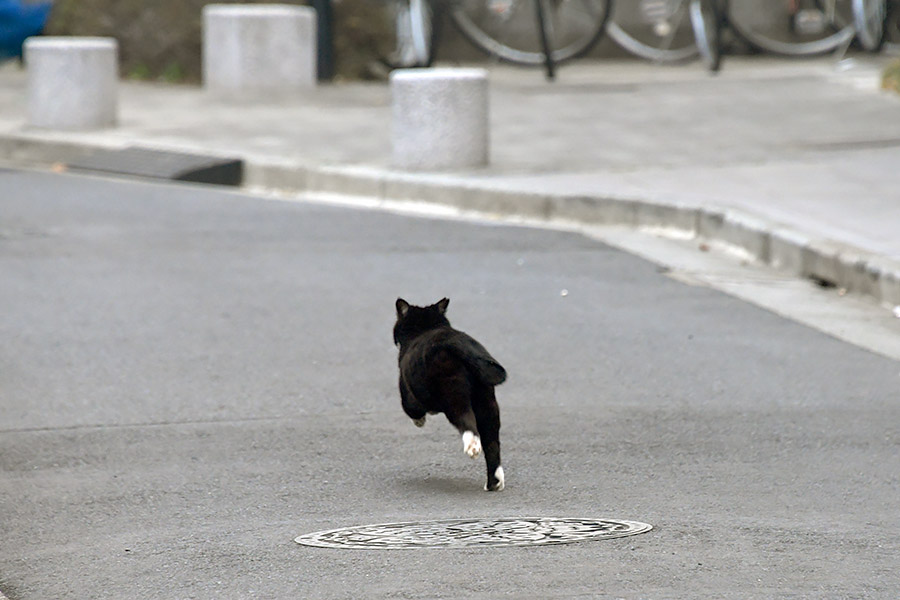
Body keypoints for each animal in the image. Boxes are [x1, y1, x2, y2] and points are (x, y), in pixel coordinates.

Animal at [394, 296, 506, 492]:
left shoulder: (408, 396)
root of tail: (459, 343)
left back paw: (472, 447)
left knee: (467, 423)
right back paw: (494, 482)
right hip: (487, 402)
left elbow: (413, 412)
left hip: (454, 397)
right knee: (492, 442)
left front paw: (420, 421)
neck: (425, 328)